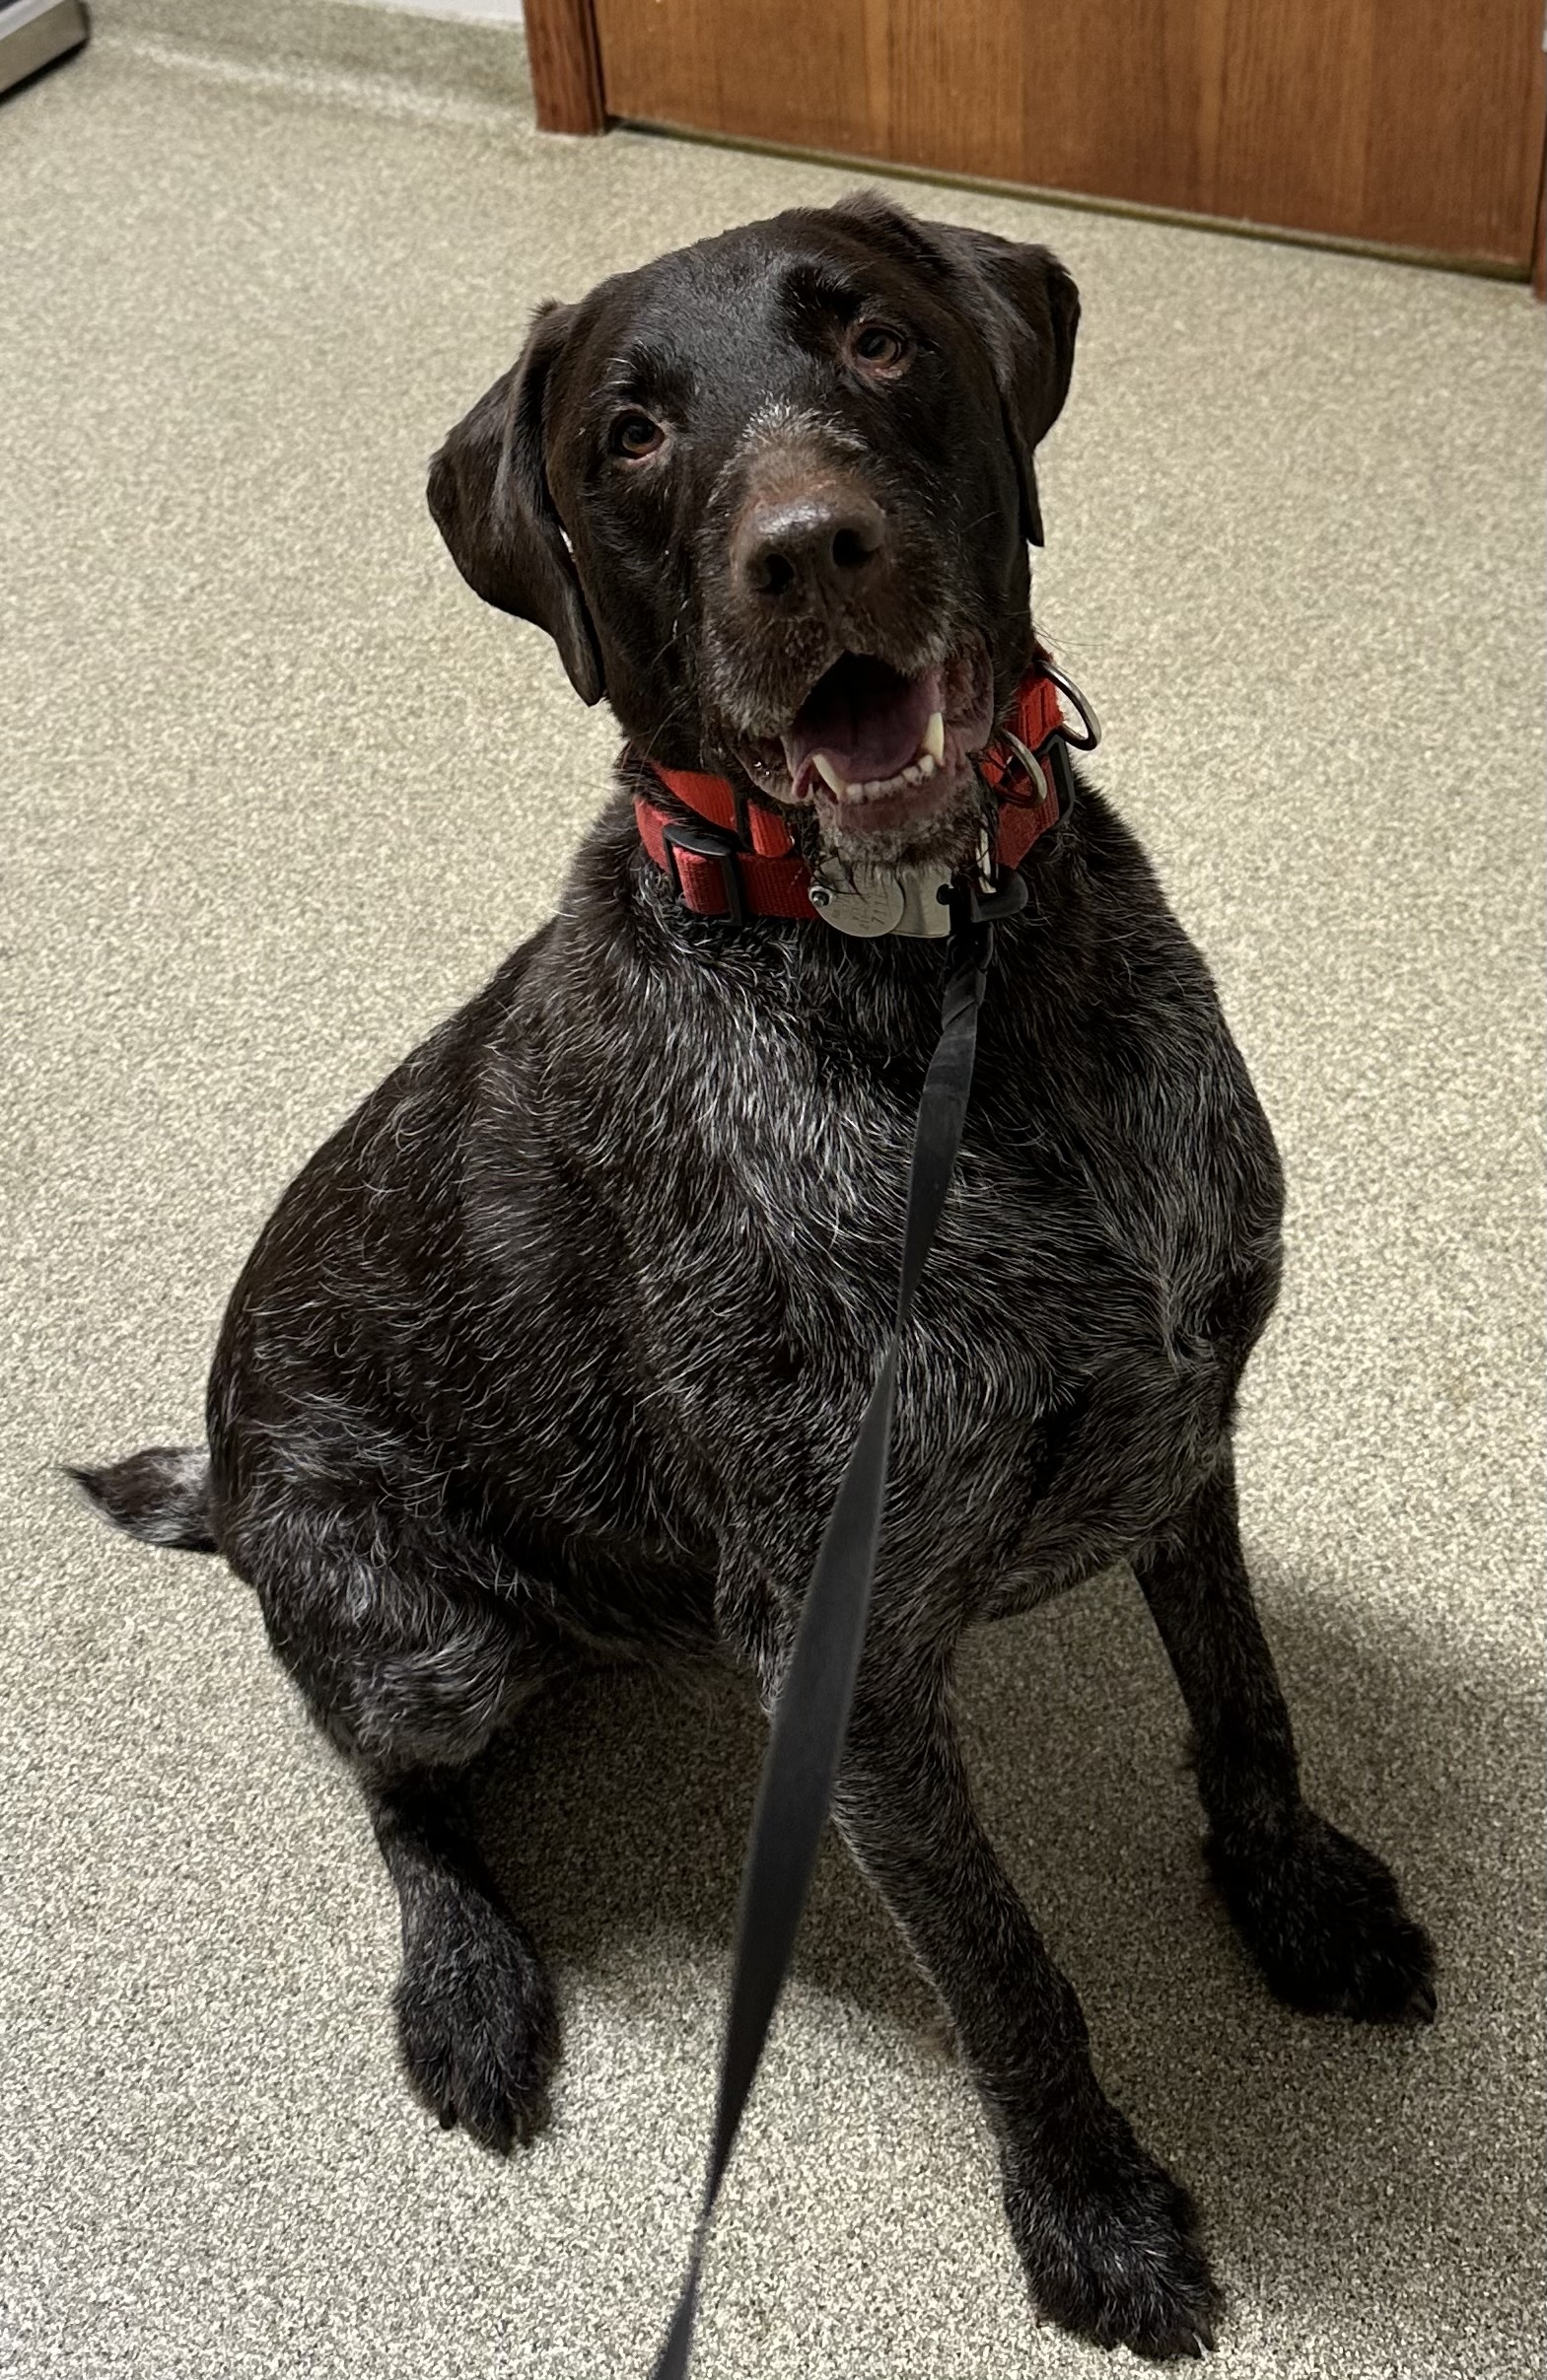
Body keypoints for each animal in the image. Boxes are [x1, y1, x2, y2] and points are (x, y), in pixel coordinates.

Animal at [75, 194, 1437, 2351]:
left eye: (871, 337)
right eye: (628, 437)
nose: (807, 550)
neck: (946, 975)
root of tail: (225, 1463)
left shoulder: (1182, 1431)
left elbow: (1246, 1704)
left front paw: (1291, 1896)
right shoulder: (850, 1664)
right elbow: (1006, 1969)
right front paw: (1091, 2211)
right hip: (423, 1631)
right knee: (393, 1792)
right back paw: (466, 1987)